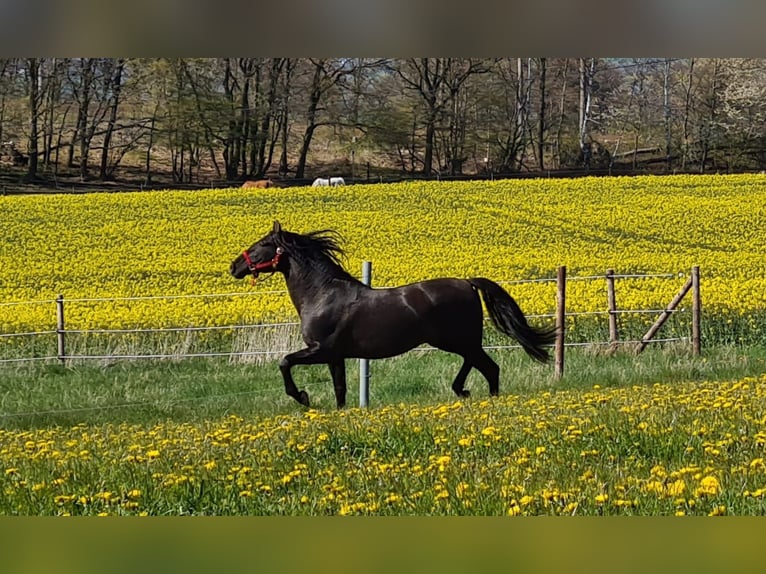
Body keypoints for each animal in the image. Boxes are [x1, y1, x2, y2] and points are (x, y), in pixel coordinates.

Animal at [228, 220, 560, 410]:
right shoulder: (335, 356)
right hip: (459, 341)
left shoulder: (321, 350)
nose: (234, 267)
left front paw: (303, 397)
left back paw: (474, 396)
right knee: (480, 365)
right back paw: (465, 391)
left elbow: (285, 362)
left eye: (261, 245)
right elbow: (339, 390)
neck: (322, 295)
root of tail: (468, 282)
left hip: (457, 340)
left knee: (489, 367)